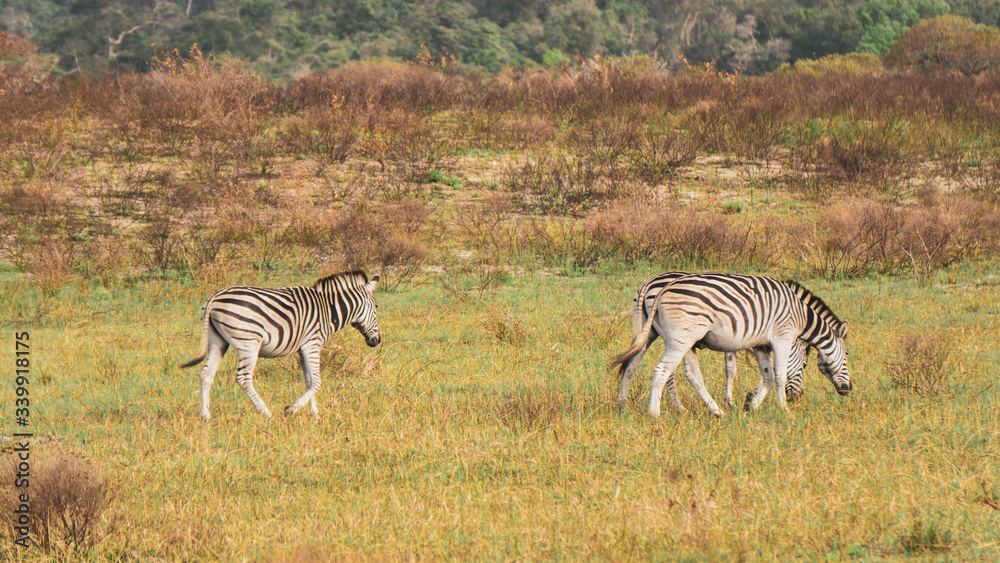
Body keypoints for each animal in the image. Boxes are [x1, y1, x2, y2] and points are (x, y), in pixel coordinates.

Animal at [181, 271, 380, 420]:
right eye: (377, 306)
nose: (377, 341)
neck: (329, 310)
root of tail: (214, 298)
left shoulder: (302, 349)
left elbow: (309, 382)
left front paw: (314, 415)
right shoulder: (312, 344)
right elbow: (316, 382)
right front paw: (291, 409)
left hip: (217, 340)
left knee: (206, 374)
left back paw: (205, 415)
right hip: (249, 343)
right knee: (243, 379)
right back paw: (266, 413)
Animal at [610, 273, 851, 417]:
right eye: (805, 366)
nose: (847, 390)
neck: (800, 314)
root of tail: (652, 286)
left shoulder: (757, 343)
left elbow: (765, 375)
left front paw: (749, 404)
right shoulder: (781, 337)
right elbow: (777, 375)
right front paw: (782, 410)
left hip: (651, 332)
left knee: (633, 364)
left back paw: (623, 405)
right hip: (679, 338)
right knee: (663, 370)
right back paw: (657, 412)